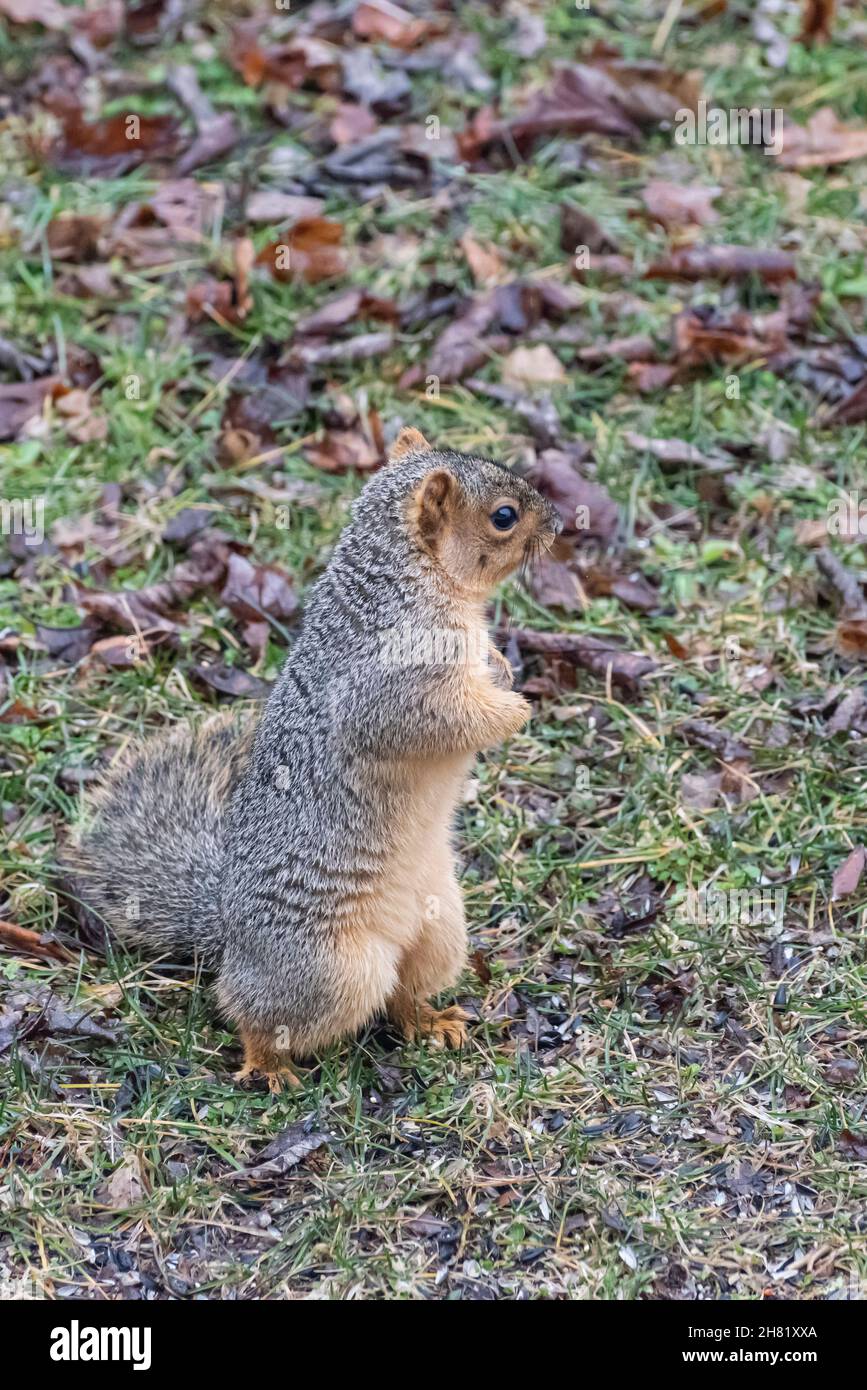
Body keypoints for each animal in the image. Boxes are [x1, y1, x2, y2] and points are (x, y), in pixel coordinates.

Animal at [66, 430, 561, 1089]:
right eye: (504, 516)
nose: (558, 524)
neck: (405, 581)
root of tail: (229, 936)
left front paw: (505, 673)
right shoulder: (390, 685)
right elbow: (440, 720)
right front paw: (515, 711)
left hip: (440, 930)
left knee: (403, 993)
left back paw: (431, 1023)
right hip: (330, 970)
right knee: (254, 1012)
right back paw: (269, 1066)